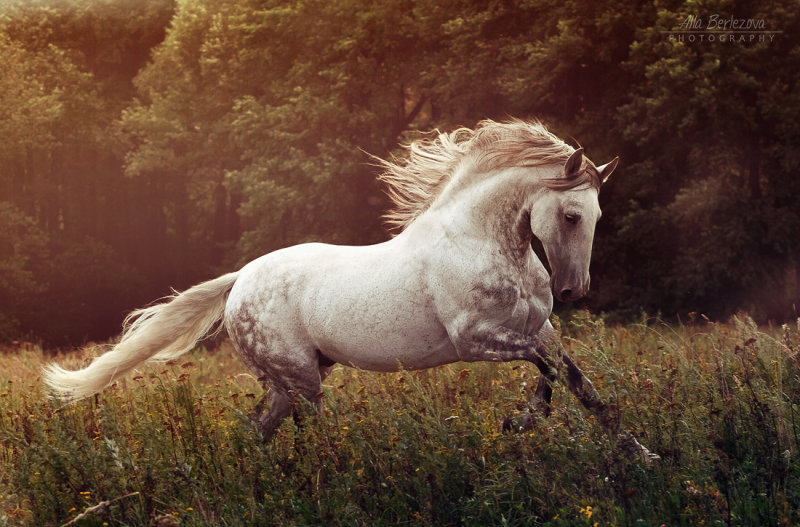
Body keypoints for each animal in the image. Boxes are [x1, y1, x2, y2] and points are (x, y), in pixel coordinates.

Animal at [42, 119, 656, 462]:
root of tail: (240, 280)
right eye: (573, 215)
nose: (574, 290)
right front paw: (520, 423)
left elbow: (577, 385)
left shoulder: (539, 329)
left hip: (294, 380)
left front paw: (641, 454)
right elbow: (555, 375)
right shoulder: (478, 340)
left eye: (599, 215)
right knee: (307, 432)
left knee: (257, 431)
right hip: (302, 381)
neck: (482, 242)